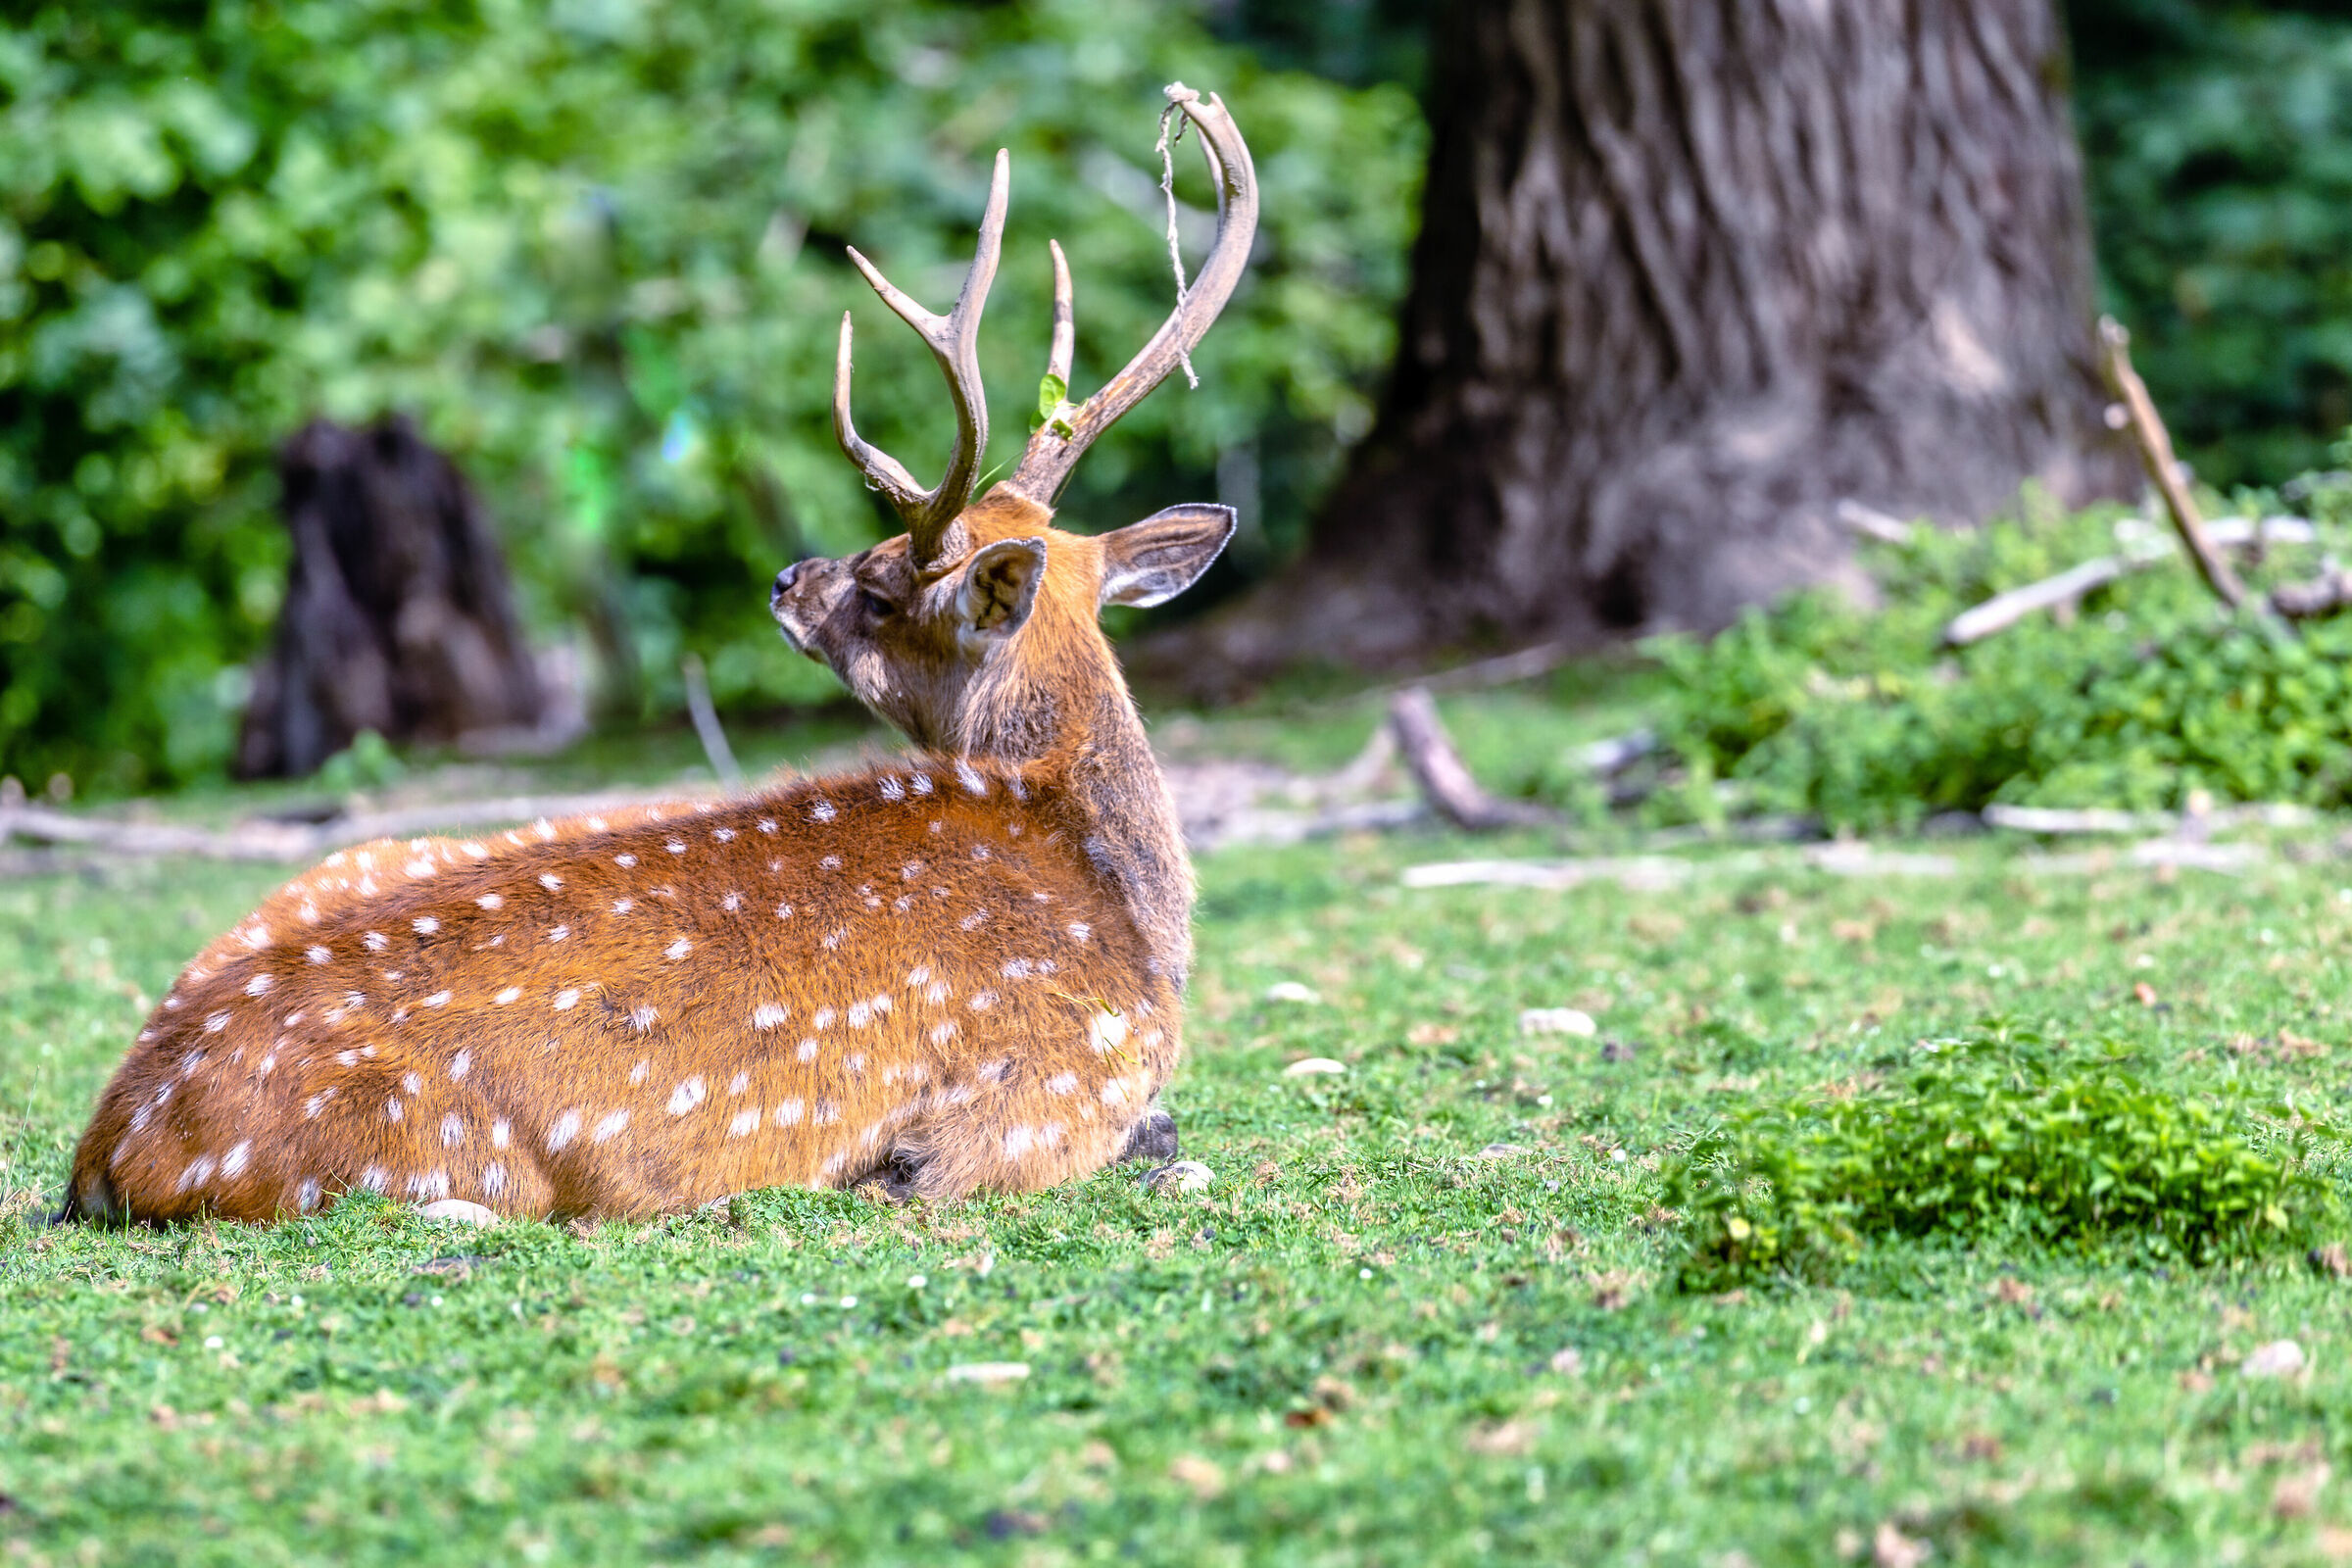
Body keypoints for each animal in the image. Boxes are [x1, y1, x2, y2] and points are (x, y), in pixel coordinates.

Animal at [58, 83, 1256, 1227]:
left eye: (878, 589)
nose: (790, 579)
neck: (1116, 901)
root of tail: (109, 1145)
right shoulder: (1030, 1106)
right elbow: (1140, 1137)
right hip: (428, 1147)